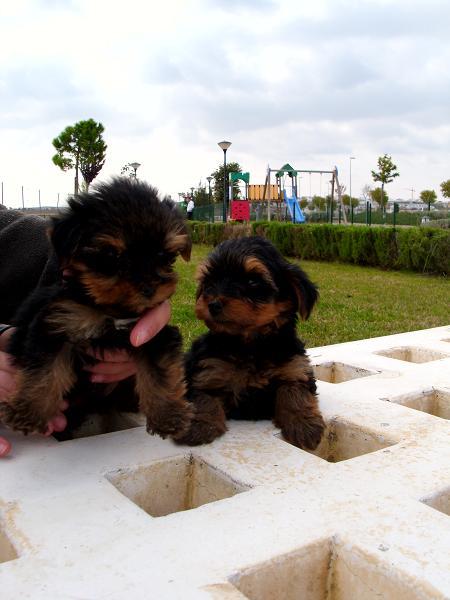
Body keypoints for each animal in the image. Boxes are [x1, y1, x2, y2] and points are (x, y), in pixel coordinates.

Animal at [0, 178, 193, 440]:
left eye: (164, 255)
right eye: (112, 256)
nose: (149, 288)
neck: (109, 309)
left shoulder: (152, 333)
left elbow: (161, 373)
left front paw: (169, 416)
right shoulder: (55, 325)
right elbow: (43, 372)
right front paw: (27, 412)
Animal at [178, 237, 326, 448]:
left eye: (252, 281)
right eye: (210, 282)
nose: (213, 304)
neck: (250, 344)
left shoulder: (294, 367)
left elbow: (296, 392)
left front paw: (304, 424)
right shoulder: (208, 372)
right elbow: (203, 397)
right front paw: (199, 425)